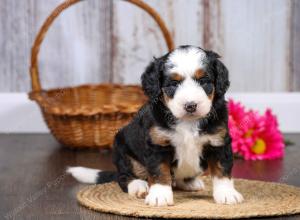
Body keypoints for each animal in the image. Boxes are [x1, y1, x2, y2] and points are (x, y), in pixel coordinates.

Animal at [68, 45, 244, 206]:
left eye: (204, 81)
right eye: (173, 84)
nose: (190, 105)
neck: (187, 121)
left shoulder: (218, 142)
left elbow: (222, 170)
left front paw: (227, 194)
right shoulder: (158, 144)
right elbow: (160, 172)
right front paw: (160, 195)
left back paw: (190, 182)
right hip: (123, 151)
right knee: (124, 177)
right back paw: (138, 186)